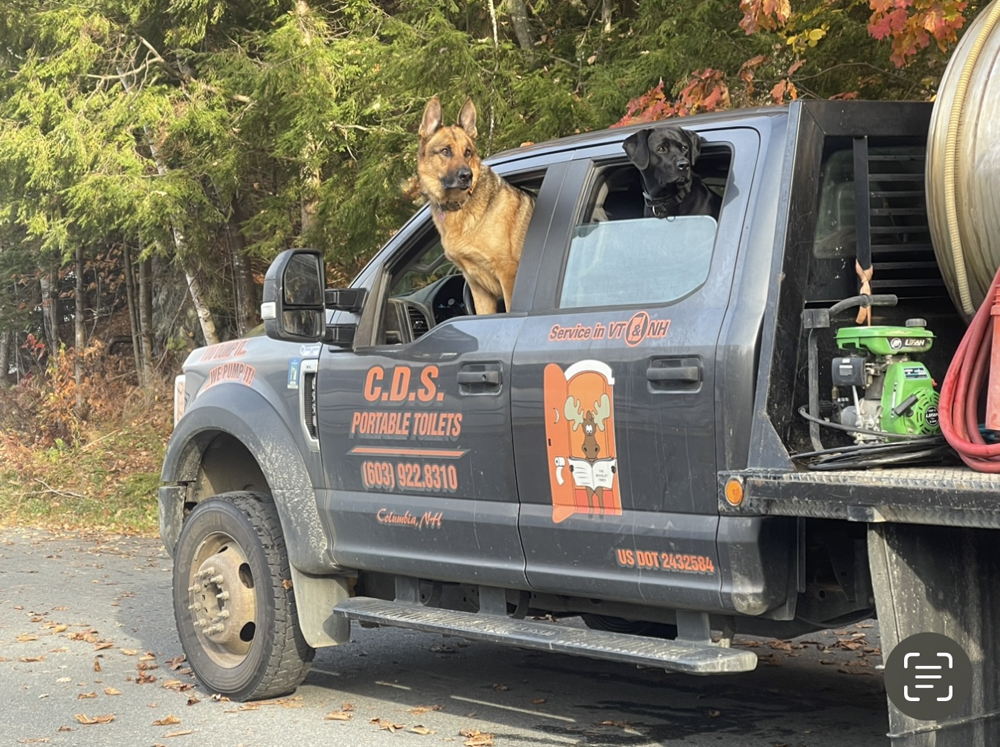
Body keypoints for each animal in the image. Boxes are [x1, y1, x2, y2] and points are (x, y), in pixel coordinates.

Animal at [418, 97, 536, 316]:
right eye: (445, 151)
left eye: (467, 152)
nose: (467, 176)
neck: (459, 205)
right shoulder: (477, 287)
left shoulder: (508, 274)